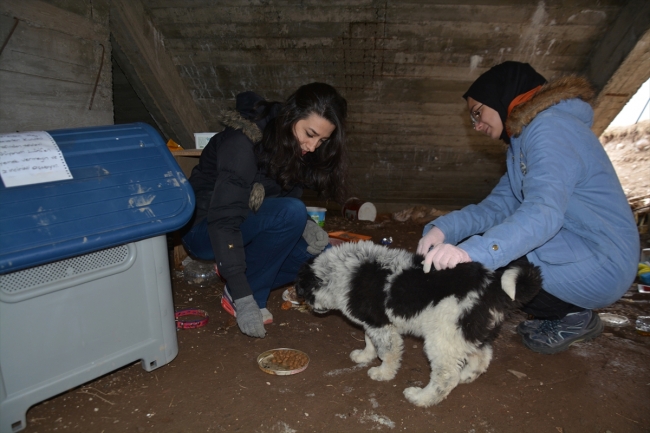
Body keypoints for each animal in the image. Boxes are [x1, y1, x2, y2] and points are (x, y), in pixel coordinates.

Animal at [294, 240, 540, 404]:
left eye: (306, 293)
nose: (311, 307)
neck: (339, 273)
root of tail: (493, 286)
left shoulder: (382, 326)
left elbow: (387, 352)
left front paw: (383, 373)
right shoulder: (374, 323)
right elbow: (369, 340)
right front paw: (364, 356)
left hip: (443, 338)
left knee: (445, 376)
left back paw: (421, 398)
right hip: (466, 332)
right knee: (482, 356)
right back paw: (467, 376)